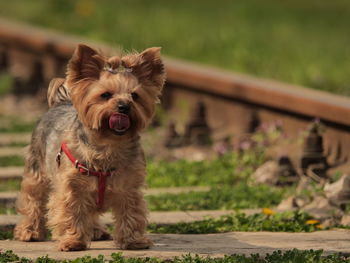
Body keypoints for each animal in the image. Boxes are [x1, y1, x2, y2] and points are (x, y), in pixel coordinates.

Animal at [14, 44, 166, 253]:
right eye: (106, 95)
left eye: (135, 96)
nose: (124, 106)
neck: (109, 144)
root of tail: (62, 102)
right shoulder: (72, 187)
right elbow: (72, 211)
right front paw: (73, 241)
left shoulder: (130, 187)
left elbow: (132, 211)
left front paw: (133, 241)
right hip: (37, 168)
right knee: (33, 199)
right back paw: (30, 232)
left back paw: (95, 231)